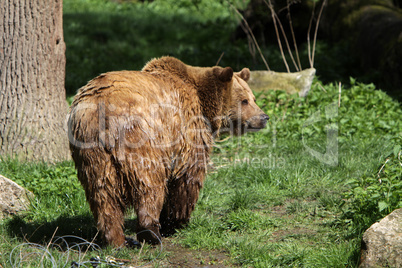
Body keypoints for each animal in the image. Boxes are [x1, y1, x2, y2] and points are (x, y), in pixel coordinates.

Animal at [67, 56, 268, 247]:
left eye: (253, 98)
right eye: (244, 100)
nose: (264, 117)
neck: (206, 105)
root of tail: (99, 110)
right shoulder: (187, 130)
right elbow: (187, 177)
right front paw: (177, 222)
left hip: (91, 151)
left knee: (103, 195)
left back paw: (117, 241)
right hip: (141, 137)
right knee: (149, 184)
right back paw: (151, 233)